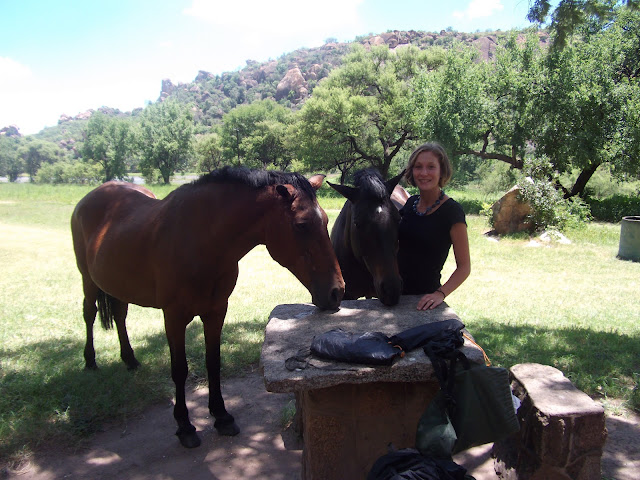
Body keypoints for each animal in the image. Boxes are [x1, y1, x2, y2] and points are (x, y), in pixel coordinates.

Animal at [71, 167, 345, 448]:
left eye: (325, 221)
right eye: (301, 225)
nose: (336, 292)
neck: (201, 242)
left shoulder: (216, 312)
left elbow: (213, 362)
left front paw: (222, 416)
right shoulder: (174, 317)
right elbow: (179, 370)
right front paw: (185, 426)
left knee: (119, 315)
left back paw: (130, 359)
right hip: (87, 280)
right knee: (89, 314)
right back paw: (90, 361)